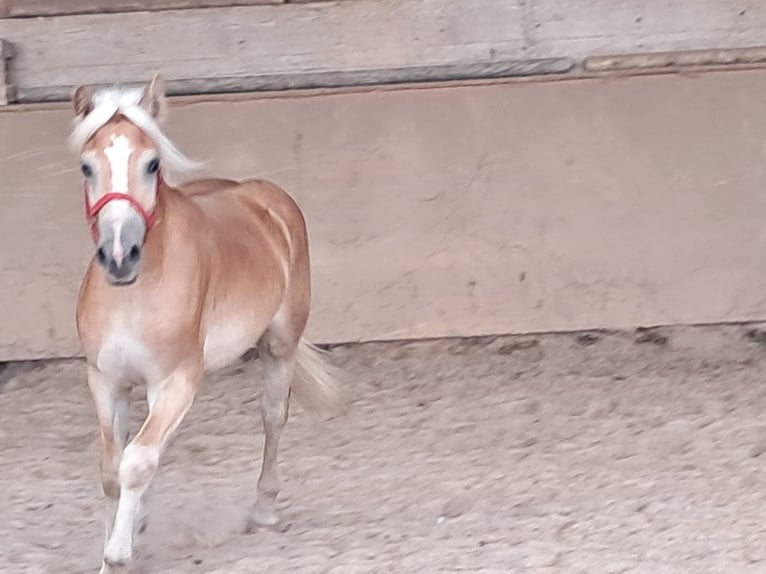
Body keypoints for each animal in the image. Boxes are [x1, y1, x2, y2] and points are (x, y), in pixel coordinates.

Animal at [70, 74, 346, 572]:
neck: (134, 295)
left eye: (152, 164)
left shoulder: (177, 380)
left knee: (273, 416)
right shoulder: (105, 380)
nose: (119, 256)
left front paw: (118, 555)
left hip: (279, 346)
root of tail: (262, 195)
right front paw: (120, 537)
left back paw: (263, 510)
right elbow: (113, 468)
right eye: (86, 167)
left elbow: (135, 462)